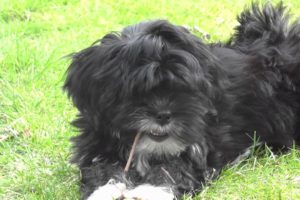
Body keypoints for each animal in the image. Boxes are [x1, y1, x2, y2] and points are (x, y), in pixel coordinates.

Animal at [63, 3, 300, 200]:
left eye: (182, 88)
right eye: (134, 90)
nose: (163, 115)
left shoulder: (202, 144)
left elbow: (174, 168)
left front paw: (149, 192)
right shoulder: (97, 141)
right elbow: (99, 168)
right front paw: (104, 191)